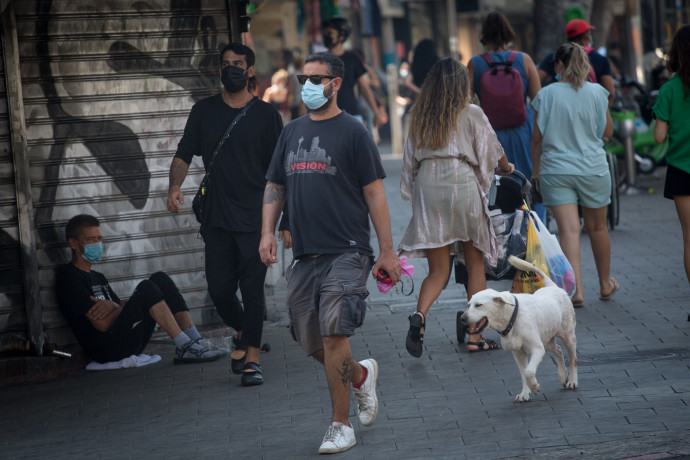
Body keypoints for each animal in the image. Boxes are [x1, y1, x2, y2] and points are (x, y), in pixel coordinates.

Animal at [460, 255, 576, 402]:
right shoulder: (518, 353)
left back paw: (572, 381)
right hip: (548, 339)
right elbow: (523, 374)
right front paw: (525, 394)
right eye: (469, 304)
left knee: (573, 359)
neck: (511, 317)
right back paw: (562, 376)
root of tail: (552, 286)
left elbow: (529, 371)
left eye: (478, 305)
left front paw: (535, 387)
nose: (462, 318)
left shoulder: (537, 349)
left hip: (568, 336)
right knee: (559, 351)